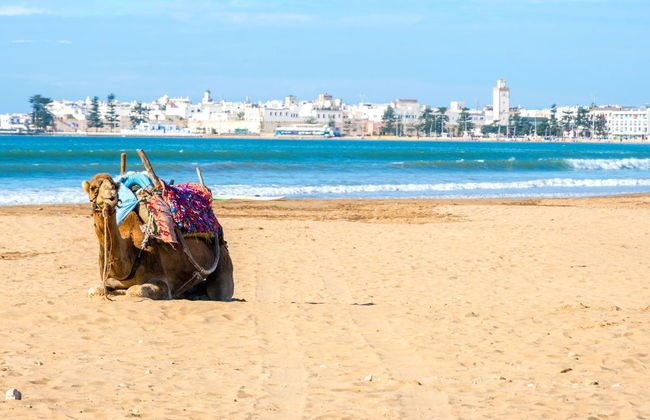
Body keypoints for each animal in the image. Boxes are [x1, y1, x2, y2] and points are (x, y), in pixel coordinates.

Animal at [82, 173, 234, 300]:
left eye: (114, 185)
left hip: (222, 260)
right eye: (93, 187)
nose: (111, 195)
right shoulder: (107, 280)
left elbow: (134, 291)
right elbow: (94, 290)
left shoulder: (162, 281)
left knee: (220, 292)